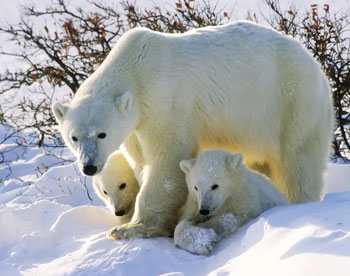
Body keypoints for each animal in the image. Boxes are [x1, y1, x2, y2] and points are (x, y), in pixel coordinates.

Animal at [51, 20, 334, 238]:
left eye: (102, 134)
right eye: (74, 137)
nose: (89, 166)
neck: (136, 69)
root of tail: (319, 71)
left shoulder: (166, 102)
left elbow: (167, 160)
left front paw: (131, 228)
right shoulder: (135, 128)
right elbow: (141, 163)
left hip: (293, 105)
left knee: (298, 164)